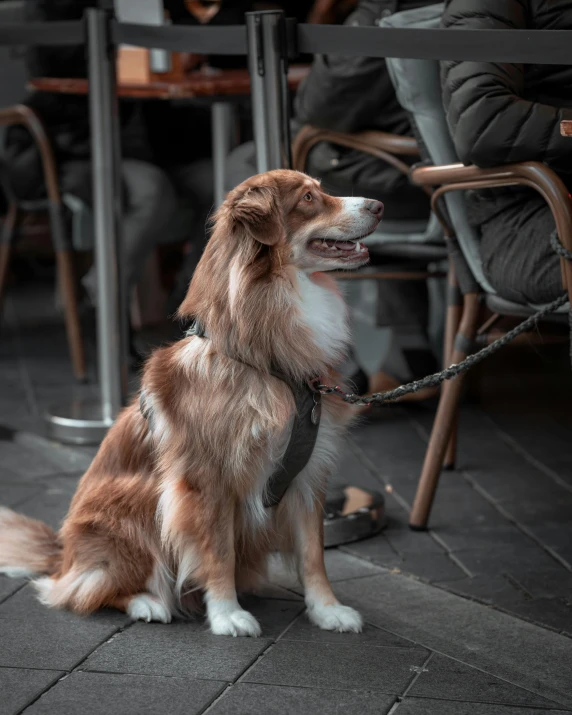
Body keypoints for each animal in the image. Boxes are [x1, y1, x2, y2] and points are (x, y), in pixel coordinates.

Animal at [2, 169, 384, 636]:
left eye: (321, 189)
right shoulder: (206, 480)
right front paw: (227, 614)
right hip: (137, 504)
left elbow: (314, 553)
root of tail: (63, 555)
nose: (380, 206)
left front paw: (327, 610)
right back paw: (148, 602)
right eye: (309, 198)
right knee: (89, 589)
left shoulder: (308, 475)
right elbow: (216, 551)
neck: (269, 366)